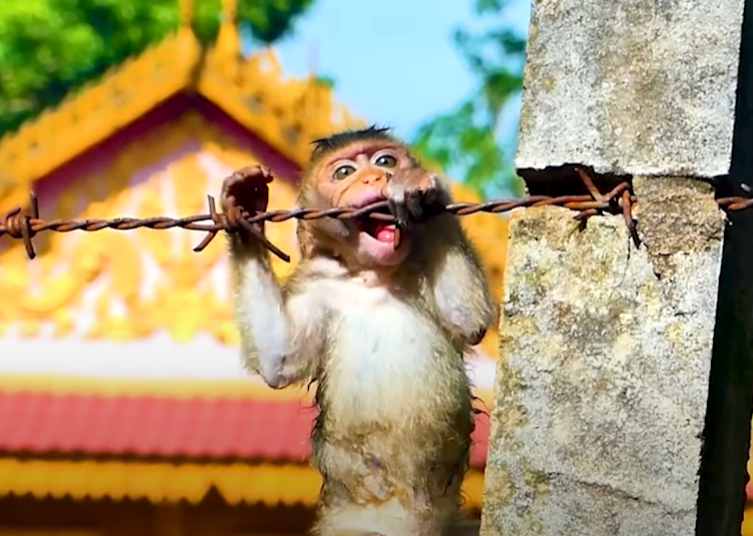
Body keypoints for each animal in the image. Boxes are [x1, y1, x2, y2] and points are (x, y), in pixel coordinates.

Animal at [220, 126, 496, 536]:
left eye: (385, 160)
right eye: (344, 172)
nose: (374, 178)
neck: (373, 276)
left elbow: (468, 315)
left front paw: (420, 187)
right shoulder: (317, 282)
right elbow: (279, 357)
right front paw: (245, 211)